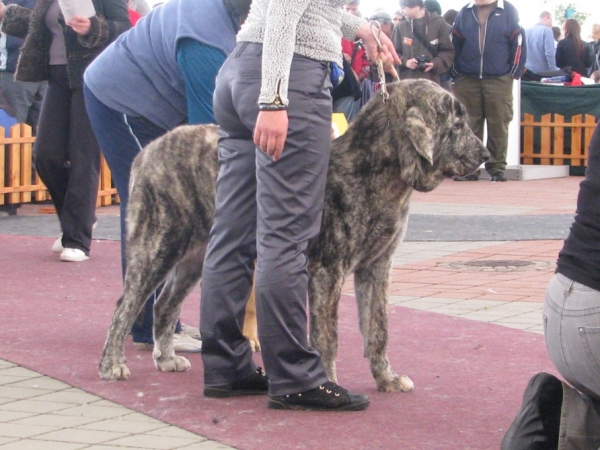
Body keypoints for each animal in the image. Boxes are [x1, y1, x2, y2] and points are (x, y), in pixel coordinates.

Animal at [99, 81, 492, 394]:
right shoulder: (327, 272)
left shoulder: (377, 267)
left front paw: (386, 379)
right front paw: (329, 383)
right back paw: (111, 364)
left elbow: (378, 329)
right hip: (158, 244)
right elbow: (327, 338)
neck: (373, 170)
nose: (486, 153)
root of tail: (148, 151)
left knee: (165, 304)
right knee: (125, 304)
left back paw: (166, 358)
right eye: (457, 124)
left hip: (195, 255)